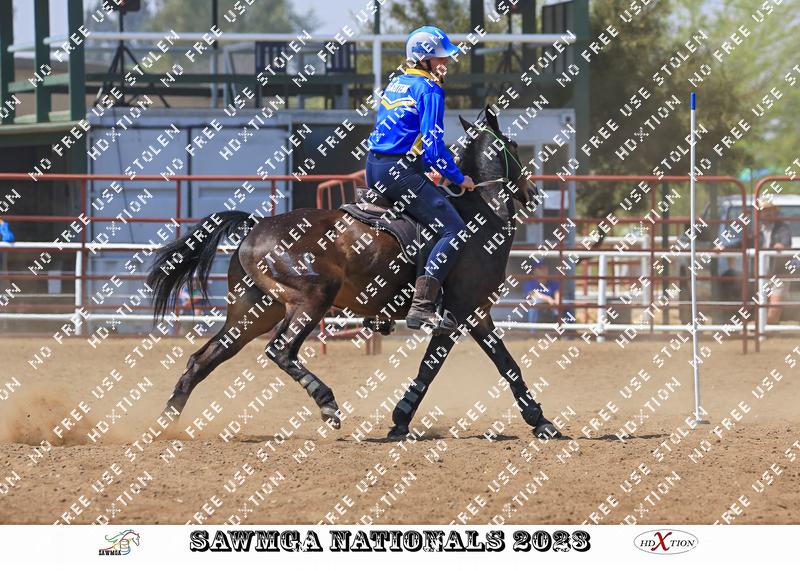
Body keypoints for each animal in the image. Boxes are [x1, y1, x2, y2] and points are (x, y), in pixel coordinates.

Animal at [146, 105, 563, 440]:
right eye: (513, 144)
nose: (531, 191)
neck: (478, 214)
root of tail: (256, 226)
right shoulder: (461, 312)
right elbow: (438, 369)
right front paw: (401, 418)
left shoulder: (478, 314)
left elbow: (505, 364)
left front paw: (540, 421)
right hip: (311, 300)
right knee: (281, 350)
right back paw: (327, 404)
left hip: (253, 312)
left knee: (203, 359)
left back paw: (165, 424)